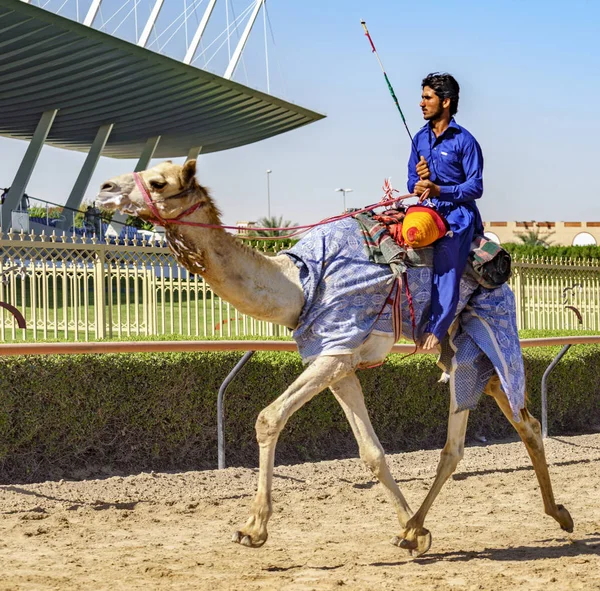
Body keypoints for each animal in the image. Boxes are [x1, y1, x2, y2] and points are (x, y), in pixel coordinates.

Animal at [96, 161, 576, 556]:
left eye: (159, 181)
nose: (103, 188)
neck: (300, 285)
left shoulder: (338, 346)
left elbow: (268, 417)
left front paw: (253, 529)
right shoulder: (338, 361)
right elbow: (371, 451)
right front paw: (411, 528)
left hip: (478, 338)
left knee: (457, 445)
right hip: (467, 352)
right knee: (524, 423)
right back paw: (554, 515)